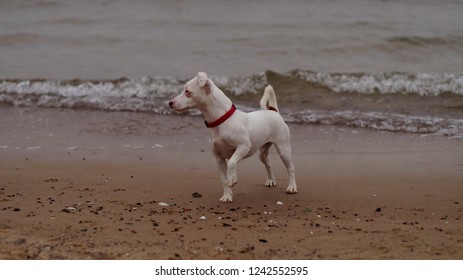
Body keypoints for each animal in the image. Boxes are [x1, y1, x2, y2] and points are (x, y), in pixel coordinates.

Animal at [169, 71, 298, 203]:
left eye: (187, 91)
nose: (170, 103)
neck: (221, 121)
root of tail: (273, 111)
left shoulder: (244, 146)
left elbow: (231, 162)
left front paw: (232, 179)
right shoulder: (219, 159)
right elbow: (223, 180)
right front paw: (227, 196)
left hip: (283, 149)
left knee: (291, 168)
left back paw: (292, 187)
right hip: (262, 152)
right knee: (268, 162)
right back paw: (271, 180)